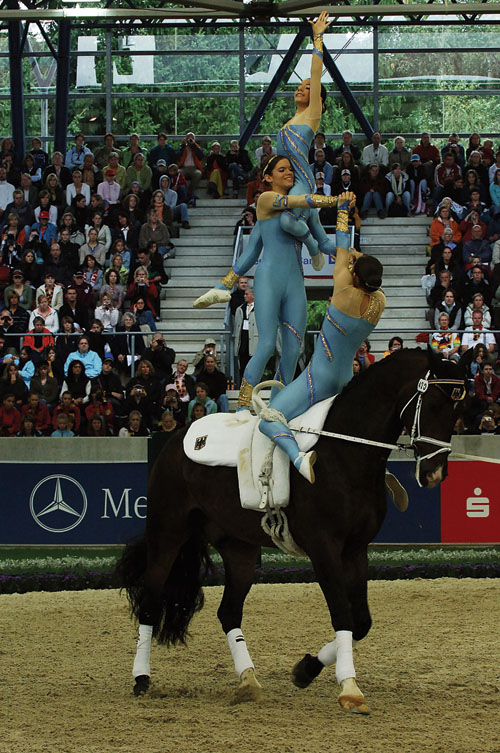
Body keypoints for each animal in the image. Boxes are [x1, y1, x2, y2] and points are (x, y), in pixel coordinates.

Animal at [117, 347, 466, 714]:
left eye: (458, 411)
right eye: (435, 406)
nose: (434, 473)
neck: (345, 454)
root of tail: (176, 437)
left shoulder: (356, 550)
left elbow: (361, 621)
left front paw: (306, 669)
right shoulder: (324, 549)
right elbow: (342, 614)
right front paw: (349, 688)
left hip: (239, 548)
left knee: (228, 612)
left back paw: (249, 681)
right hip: (167, 533)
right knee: (150, 602)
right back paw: (141, 679)